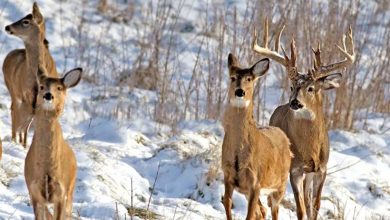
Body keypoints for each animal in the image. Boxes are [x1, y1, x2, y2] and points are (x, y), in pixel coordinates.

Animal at [2, 1, 58, 147]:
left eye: (26, 21)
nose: (7, 27)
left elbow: (31, 117)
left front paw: (25, 144)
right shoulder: (25, 93)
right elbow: (25, 116)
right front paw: (19, 141)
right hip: (12, 89)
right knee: (13, 110)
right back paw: (14, 138)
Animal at [24, 66, 81, 219]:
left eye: (59, 88)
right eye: (42, 86)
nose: (48, 95)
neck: (46, 169)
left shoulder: (60, 193)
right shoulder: (34, 192)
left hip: (71, 189)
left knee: (68, 214)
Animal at [222, 53, 292, 220]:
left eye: (249, 79)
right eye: (232, 77)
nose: (240, 92)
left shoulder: (255, 182)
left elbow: (249, 214)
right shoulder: (228, 176)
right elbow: (227, 204)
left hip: (280, 185)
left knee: (274, 210)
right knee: (262, 212)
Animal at [251, 18, 354, 219]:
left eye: (311, 88)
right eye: (292, 86)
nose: (295, 102)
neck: (309, 148)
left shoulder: (321, 168)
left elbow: (315, 205)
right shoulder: (295, 169)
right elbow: (301, 209)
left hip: (309, 173)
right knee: (273, 200)